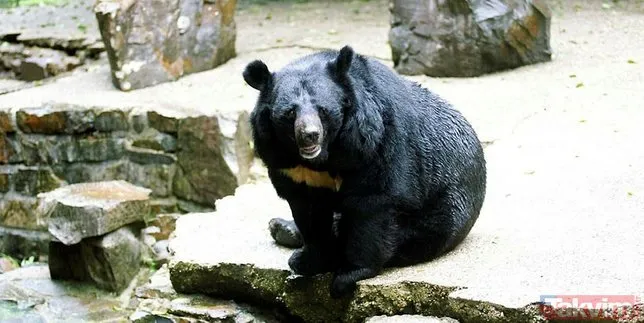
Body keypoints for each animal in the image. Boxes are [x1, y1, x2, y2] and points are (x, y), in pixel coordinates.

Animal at [244, 45, 486, 298]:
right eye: (290, 113)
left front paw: (346, 277)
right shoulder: (290, 167)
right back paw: (281, 227)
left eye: (323, 110)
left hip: (441, 213)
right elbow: (308, 210)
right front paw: (308, 260)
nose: (310, 135)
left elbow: (371, 203)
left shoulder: (375, 143)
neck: (323, 158)